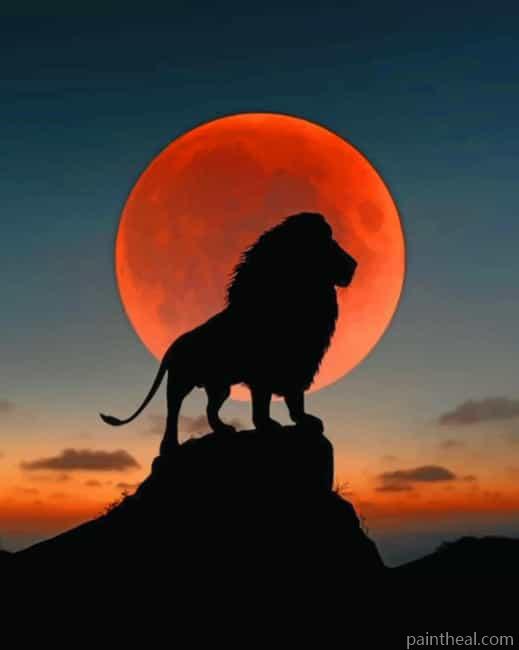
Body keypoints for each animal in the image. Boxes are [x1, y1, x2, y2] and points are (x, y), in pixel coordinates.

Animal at [100, 212, 357, 455]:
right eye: (326, 243)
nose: (354, 264)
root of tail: (173, 346)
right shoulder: (264, 374)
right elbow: (263, 404)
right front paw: (268, 426)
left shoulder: (299, 367)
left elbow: (296, 401)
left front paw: (304, 421)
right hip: (180, 382)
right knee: (173, 412)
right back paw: (169, 446)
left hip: (220, 386)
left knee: (210, 410)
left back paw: (223, 430)